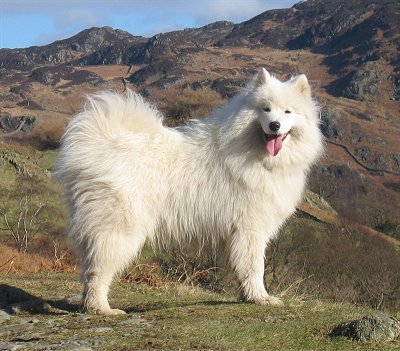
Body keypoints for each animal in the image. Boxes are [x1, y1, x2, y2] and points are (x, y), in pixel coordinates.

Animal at [54, 69, 324, 316]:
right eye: (266, 109)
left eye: (288, 112)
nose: (274, 125)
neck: (253, 151)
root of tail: (99, 144)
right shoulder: (250, 227)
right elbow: (254, 266)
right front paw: (261, 297)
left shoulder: (234, 234)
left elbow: (240, 267)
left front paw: (246, 296)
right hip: (119, 227)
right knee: (98, 270)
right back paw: (101, 308)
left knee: (88, 267)